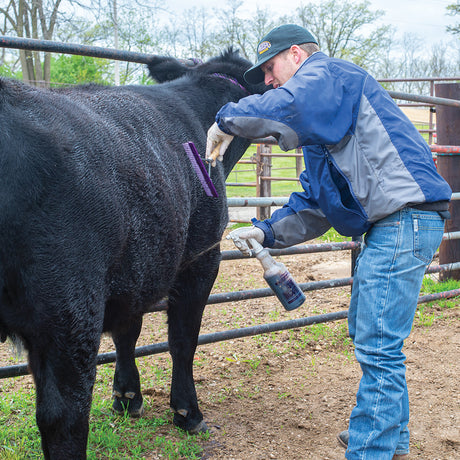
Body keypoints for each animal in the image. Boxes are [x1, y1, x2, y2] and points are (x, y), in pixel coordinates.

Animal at [0, 50, 266, 460]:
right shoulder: (201, 258)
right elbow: (183, 339)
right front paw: (187, 411)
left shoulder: (135, 271)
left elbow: (128, 332)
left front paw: (127, 396)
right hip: (67, 307)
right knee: (63, 415)